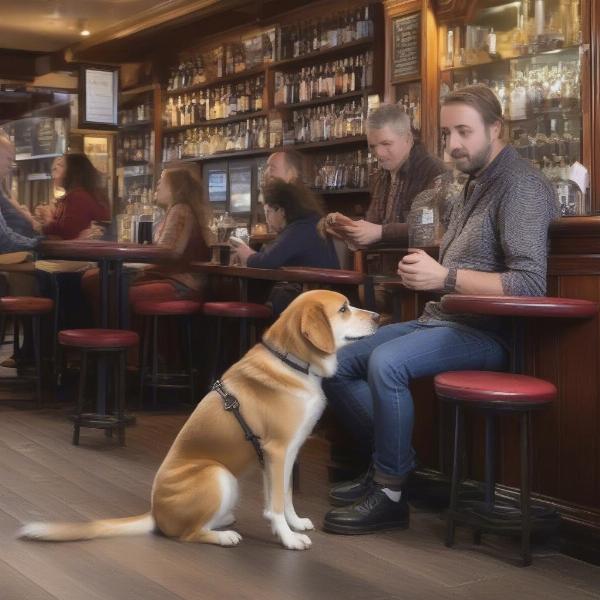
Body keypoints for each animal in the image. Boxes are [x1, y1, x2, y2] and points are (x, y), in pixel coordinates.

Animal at [19, 290, 380, 548]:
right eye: (344, 309)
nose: (378, 315)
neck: (292, 362)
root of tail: (156, 513)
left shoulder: (285, 456)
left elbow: (284, 497)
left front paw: (294, 523)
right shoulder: (277, 452)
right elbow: (277, 503)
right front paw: (289, 539)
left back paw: (224, 521)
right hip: (218, 474)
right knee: (187, 534)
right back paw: (222, 536)